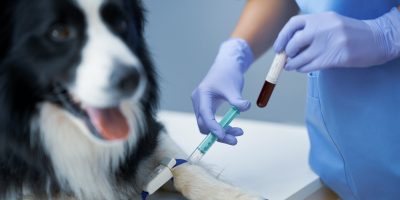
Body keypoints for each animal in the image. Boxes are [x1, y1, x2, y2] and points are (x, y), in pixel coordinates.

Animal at [0, 0, 266, 199]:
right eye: (59, 32)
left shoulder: (150, 133)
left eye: (120, 23)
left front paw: (235, 195)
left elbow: (183, 165)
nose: (133, 78)